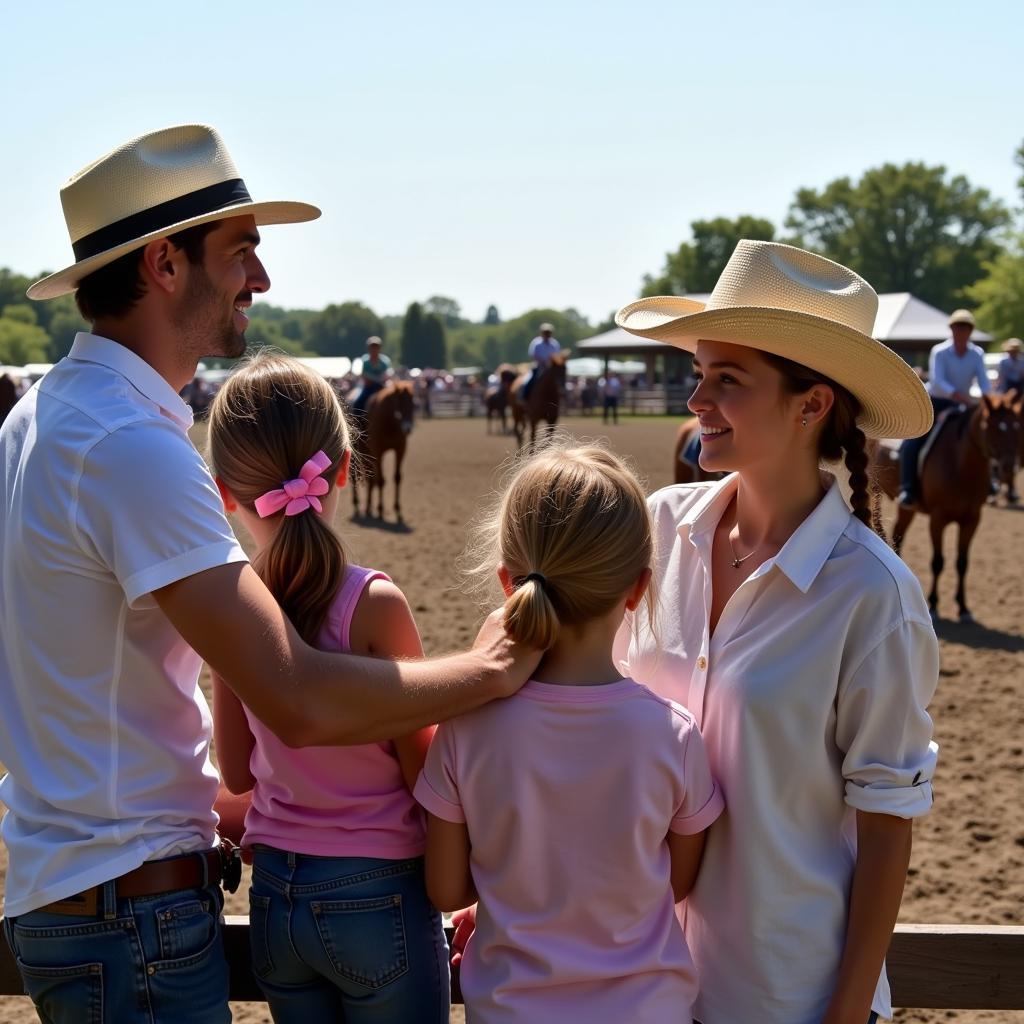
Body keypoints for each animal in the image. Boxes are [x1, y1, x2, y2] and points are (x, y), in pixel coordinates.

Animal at [352, 380, 415, 520]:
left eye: (413, 402)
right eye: (399, 401)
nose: (407, 428)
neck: (390, 422)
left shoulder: (400, 450)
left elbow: (397, 477)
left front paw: (397, 508)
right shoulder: (378, 452)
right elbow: (381, 480)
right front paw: (380, 509)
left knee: (370, 478)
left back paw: (369, 507)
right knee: (354, 476)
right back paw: (357, 504)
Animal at [868, 393, 1019, 622]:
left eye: (1016, 426)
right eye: (991, 427)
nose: (1009, 467)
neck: (960, 466)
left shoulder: (972, 519)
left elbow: (962, 562)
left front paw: (963, 607)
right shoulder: (937, 519)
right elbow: (938, 561)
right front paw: (934, 604)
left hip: (907, 509)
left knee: (898, 536)